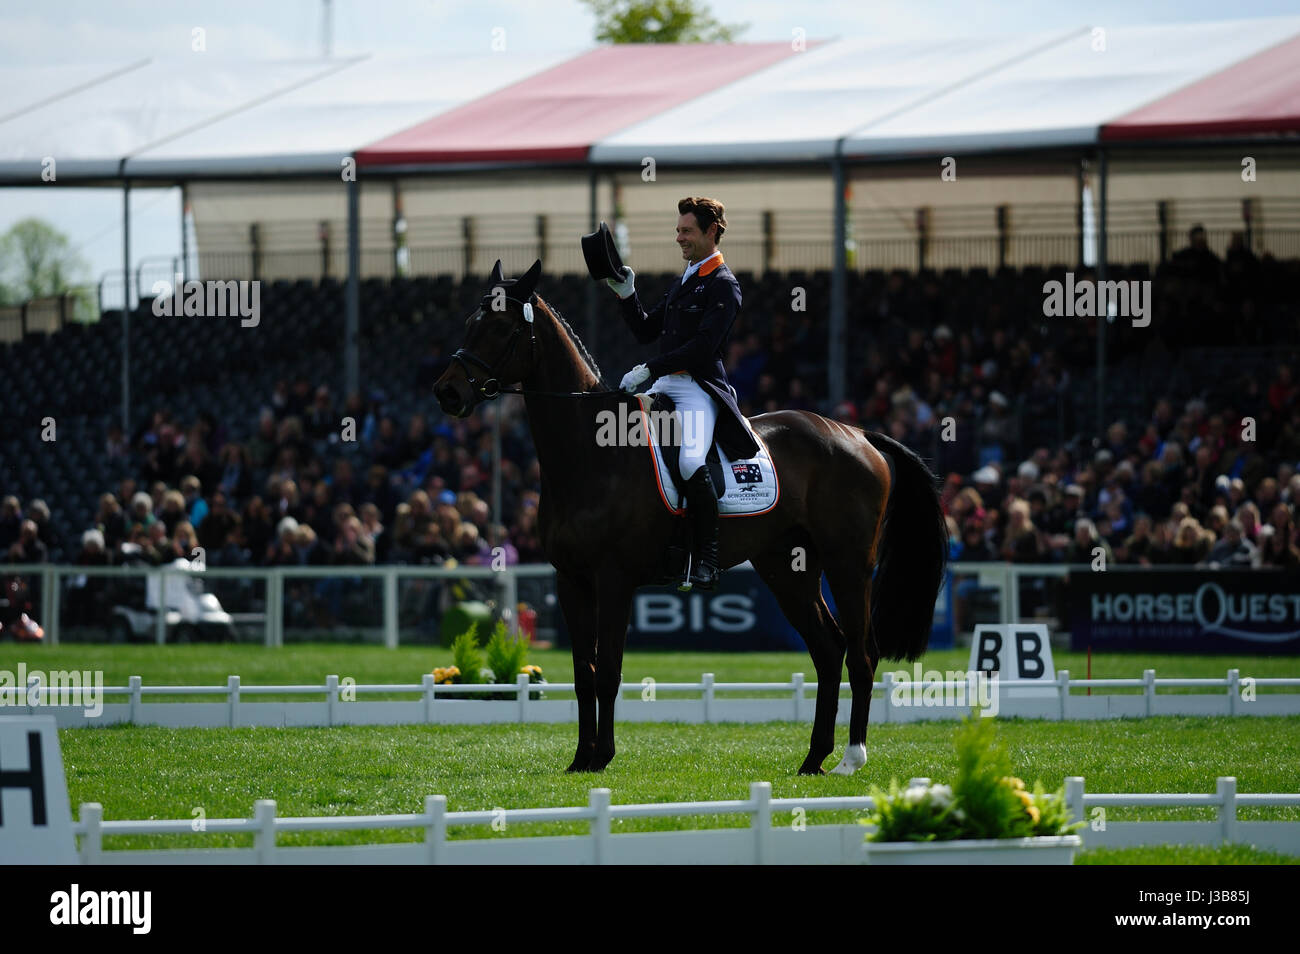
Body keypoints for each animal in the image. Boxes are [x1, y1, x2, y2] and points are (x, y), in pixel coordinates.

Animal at [436, 259, 946, 779]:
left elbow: (609, 673)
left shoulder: (614, 578)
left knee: (862, 654)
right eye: (470, 323)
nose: (447, 392)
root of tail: (857, 433)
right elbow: (584, 673)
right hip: (788, 568)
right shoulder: (571, 579)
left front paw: (602, 756)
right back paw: (813, 759)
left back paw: (850, 758)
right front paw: (580, 760)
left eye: (501, 328)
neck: (591, 452)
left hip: (849, 565)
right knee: (828, 649)